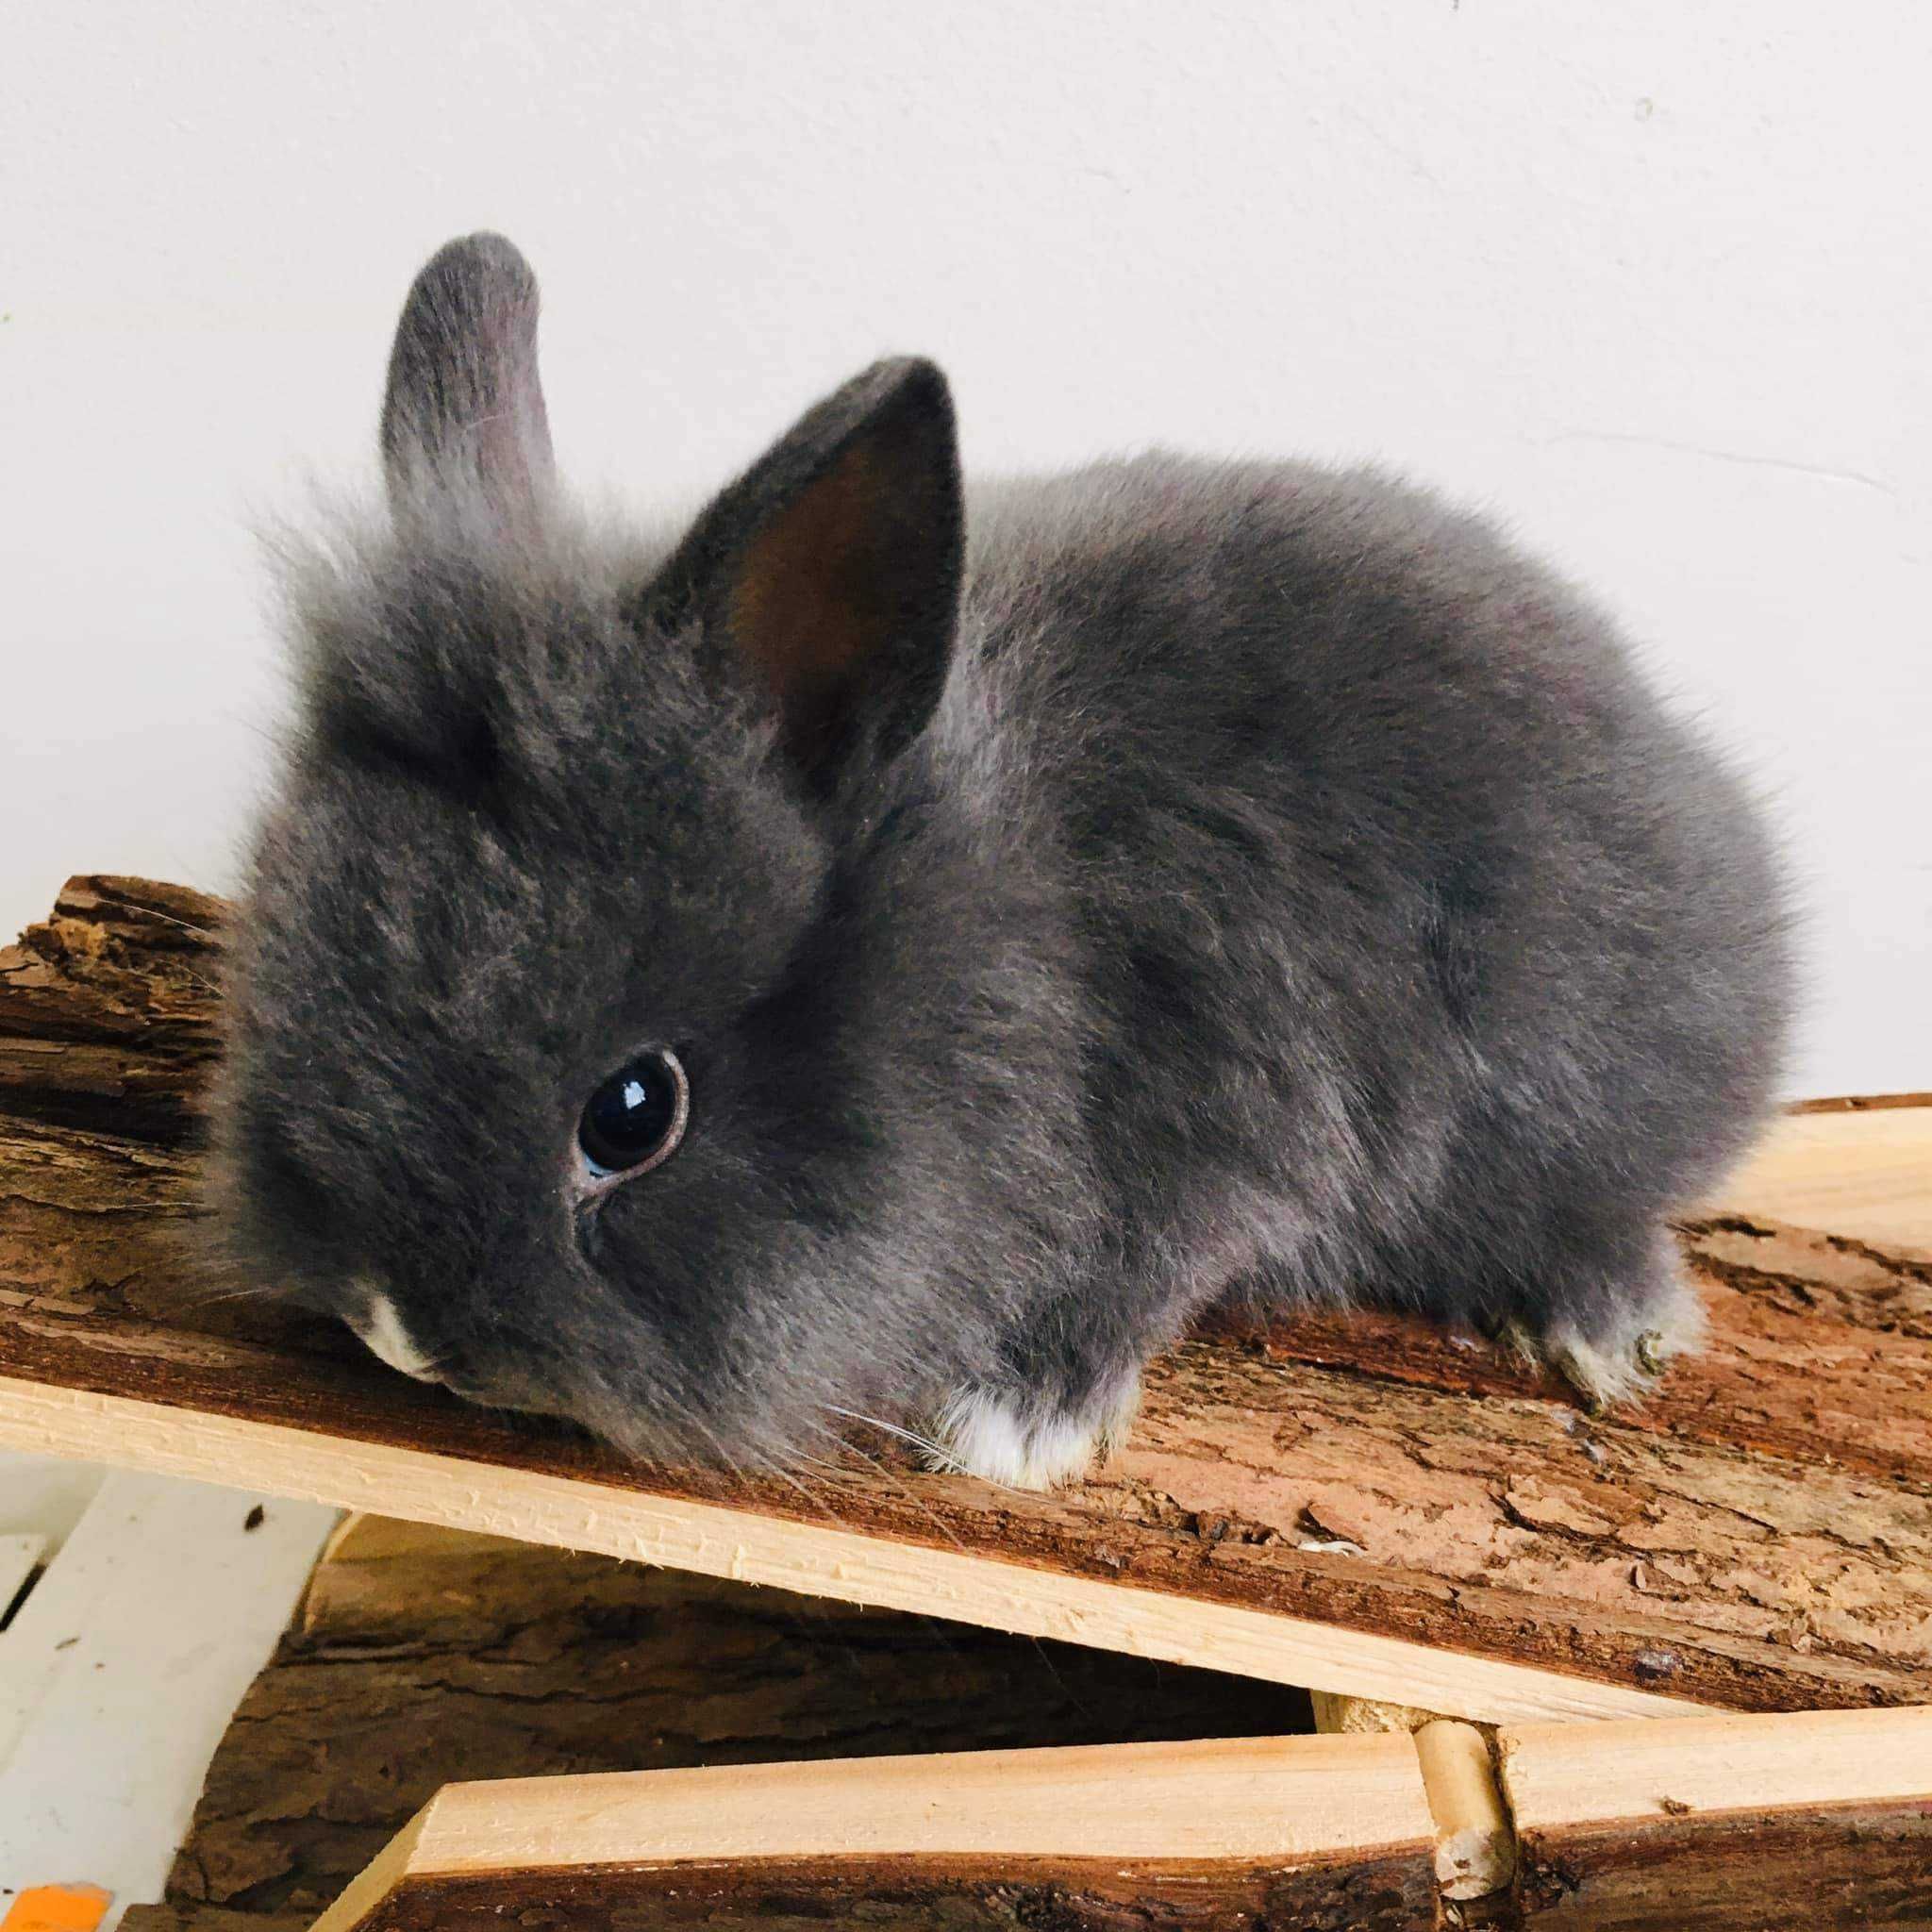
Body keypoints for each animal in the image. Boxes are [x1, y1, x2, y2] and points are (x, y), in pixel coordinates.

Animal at [204, 233, 1785, 1483]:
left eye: (634, 1112)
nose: (399, 1329)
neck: (1003, 936)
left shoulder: (1231, 1114)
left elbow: (1141, 1268)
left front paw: (1010, 1430)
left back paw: (1611, 1330)